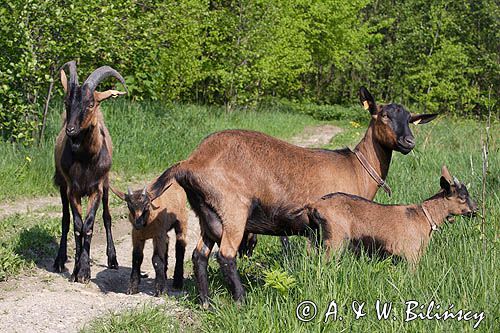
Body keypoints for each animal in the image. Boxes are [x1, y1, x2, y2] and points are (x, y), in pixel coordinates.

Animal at [52, 61, 126, 282]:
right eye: (67, 102)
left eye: (91, 103)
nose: (71, 130)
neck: (85, 160)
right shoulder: (72, 189)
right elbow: (78, 226)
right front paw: (77, 269)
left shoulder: (97, 188)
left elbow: (90, 224)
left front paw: (84, 270)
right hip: (62, 185)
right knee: (65, 220)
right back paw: (60, 260)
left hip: (107, 185)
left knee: (107, 218)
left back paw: (112, 259)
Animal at [146, 87, 436, 304]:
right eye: (384, 115)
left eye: (410, 119)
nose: (409, 142)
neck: (356, 168)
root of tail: (192, 161)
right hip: (233, 209)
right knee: (226, 255)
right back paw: (241, 300)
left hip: (208, 213)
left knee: (200, 256)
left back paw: (207, 303)